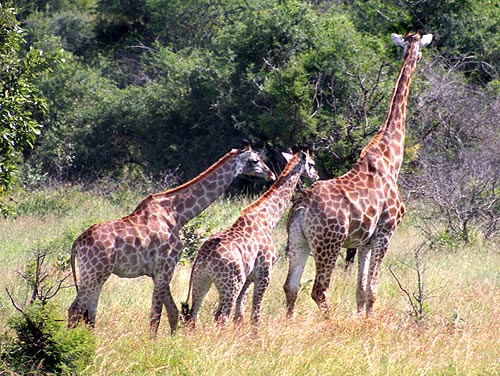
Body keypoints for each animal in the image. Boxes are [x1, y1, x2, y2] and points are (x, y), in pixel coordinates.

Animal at [67, 142, 276, 334]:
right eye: (255, 160)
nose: (271, 174)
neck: (179, 215)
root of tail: (77, 243)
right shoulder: (166, 266)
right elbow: (156, 316)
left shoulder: (157, 271)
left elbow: (172, 312)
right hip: (94, 273)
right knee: (75, 309)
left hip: (94, 274)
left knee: (89, 313)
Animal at [182, 148, 318, 328]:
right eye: (311, 163)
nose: (316, 175)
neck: (268, 219)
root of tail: (203, 258)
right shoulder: (264, 273)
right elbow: (255, 315)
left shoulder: (249, 277)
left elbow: (240, 315)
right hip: (231, 283)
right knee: (221, 317)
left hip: (201, 281)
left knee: (193, 316)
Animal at [284, 31, 432, 318]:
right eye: (419, 49)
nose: (417, 57)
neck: (390, 157)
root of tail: (300, 207)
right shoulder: (386, 231)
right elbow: (372, 289)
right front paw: (368, 321)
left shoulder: (364, 241)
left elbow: (360, 289)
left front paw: (361, 318)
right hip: (329, 244)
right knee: (319, 290)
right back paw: (331, 322)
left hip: (298, 241)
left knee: (290, 287)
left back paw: (288, 322)